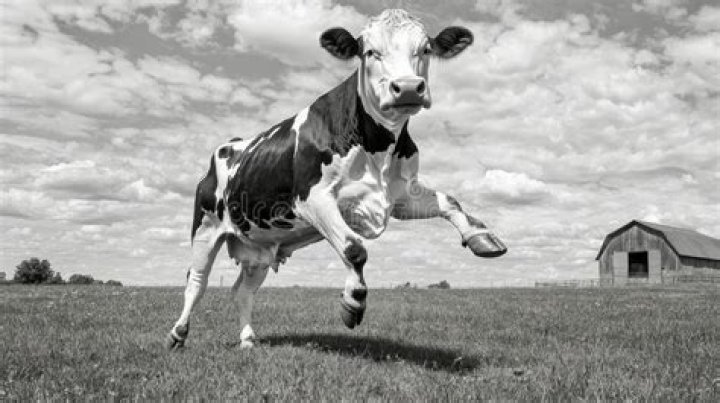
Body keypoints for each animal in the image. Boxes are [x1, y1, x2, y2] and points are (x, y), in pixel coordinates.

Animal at [167, 9, 506, 349]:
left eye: (425, 49)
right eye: (369, 51)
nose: (409, 87)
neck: (378, 148)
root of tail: (229, 145)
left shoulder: (399, 196)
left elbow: (450, 202)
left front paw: (482, 237)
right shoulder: (313, 199)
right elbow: (355, 249)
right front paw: (353, 302)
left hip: (260, 245)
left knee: (243, 291)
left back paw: (248, 339)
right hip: (206, 227)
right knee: (196, 282)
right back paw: (178, 333)